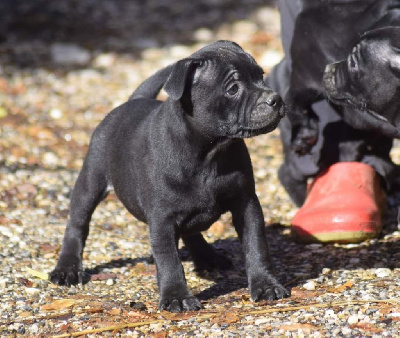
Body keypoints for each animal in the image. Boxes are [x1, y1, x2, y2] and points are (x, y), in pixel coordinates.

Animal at [50, 41, 290, 312]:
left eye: (261, 76)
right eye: (233, 89)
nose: (275, 98)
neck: (209, 151)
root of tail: (135, 100)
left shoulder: (246, 204)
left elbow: (256, 246)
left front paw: (266, 284)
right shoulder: (162, 219)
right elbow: (169, 260)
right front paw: (177, 296)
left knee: (191, 231)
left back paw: (207, 256)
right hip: (91, 180)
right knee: (78, 224)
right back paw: (67, 269)